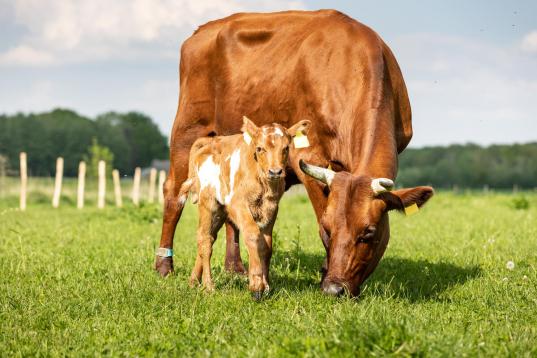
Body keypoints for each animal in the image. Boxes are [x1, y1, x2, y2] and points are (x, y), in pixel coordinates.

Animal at [180, 116, 310, 298]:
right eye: (260, 148)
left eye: (286, 148)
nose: (275, 171)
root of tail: (211, 142)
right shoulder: (238, 204)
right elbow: (252, 234)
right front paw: (256, 284)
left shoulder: (271, 208)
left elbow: (266, 245)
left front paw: (266, 286)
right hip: (208, 201)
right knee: (204, 239)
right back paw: (208, 286)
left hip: (220, 210)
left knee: (209, 237)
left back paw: (193, 282)